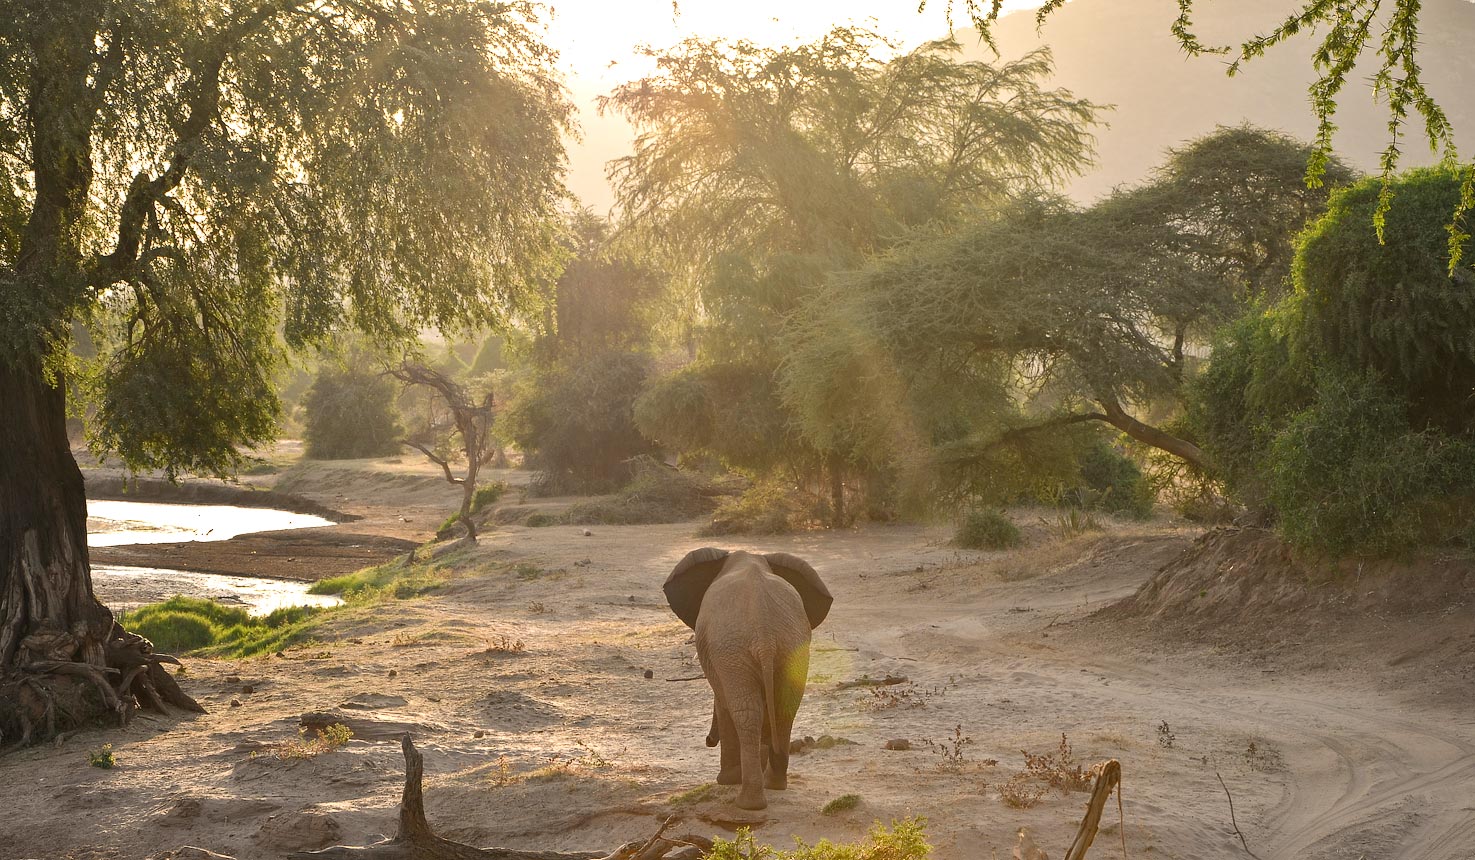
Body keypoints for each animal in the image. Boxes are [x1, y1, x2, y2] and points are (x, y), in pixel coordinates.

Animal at [666, 548, 837, 808]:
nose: (708, 740)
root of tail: (764, 634)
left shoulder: (720, 660)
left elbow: (723, 703)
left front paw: (725, 781)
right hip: (791, 648)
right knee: (783, 710)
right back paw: (774, 785)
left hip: (732, 650)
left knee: (746, 712)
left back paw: (747, 802)